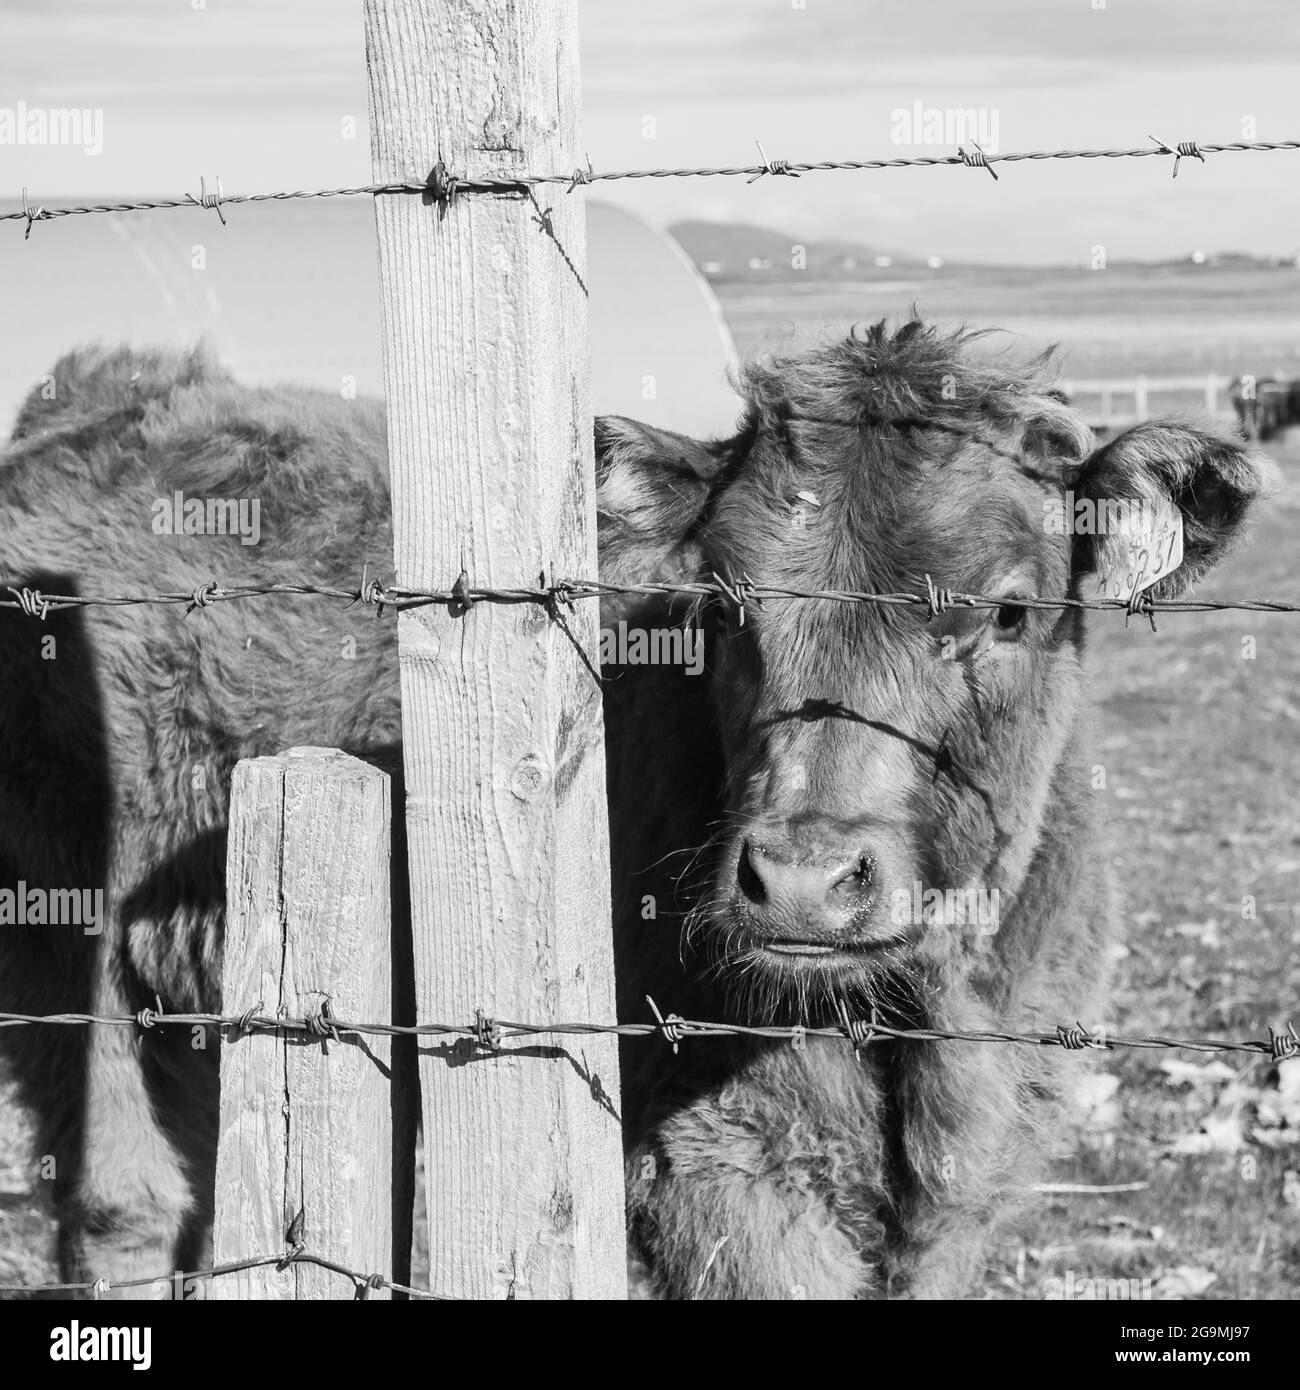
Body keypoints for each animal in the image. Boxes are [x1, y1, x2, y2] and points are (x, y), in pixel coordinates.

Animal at [0, 322, 1268, 1289]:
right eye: (725, 602)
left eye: (1007, 611)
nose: (800, 880)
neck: (920, 1028)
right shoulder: (719, 1170)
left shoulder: (972, 1186)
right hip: (77, 961)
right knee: (122, 1206)